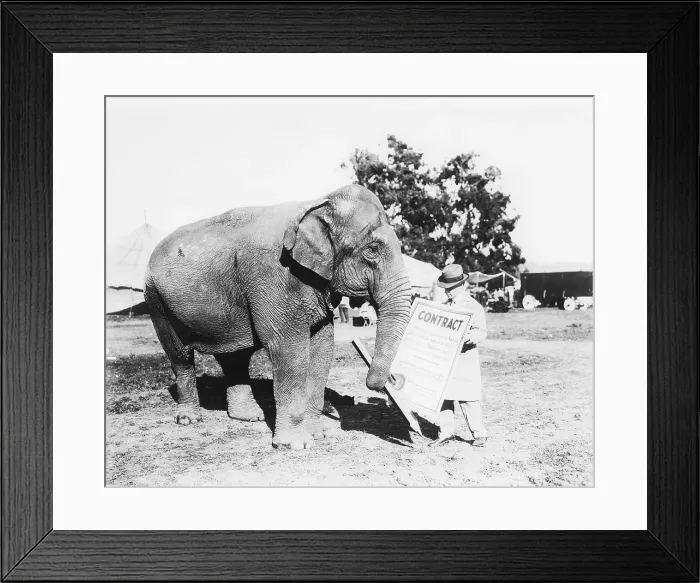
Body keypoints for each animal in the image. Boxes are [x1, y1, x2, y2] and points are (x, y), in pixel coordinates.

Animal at [144, 184, 412, 449]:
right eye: (372, 250)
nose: (394, 379)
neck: (316, 202)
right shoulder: (274, 276)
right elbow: (288, 348)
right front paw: (295, 445)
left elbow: (323, 347)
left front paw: (319, 434)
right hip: (156, 302)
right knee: (180, 356)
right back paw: (189, 419)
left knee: (235, 357)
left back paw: (248, 417)